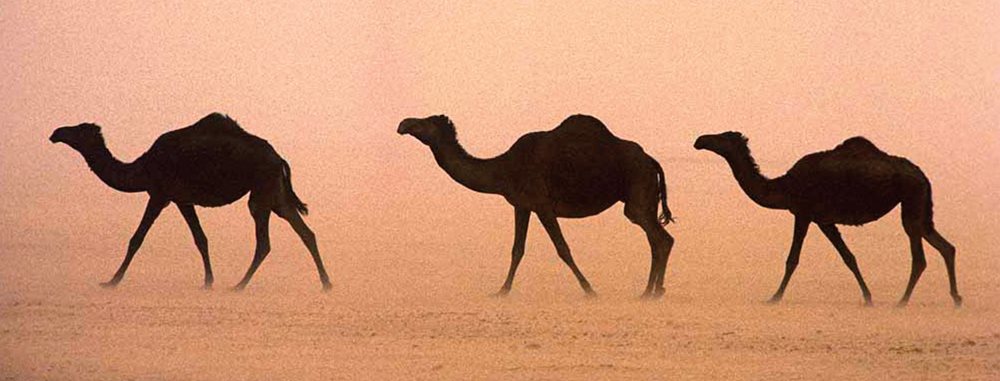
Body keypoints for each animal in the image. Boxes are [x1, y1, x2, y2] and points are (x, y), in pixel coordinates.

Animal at [49, 113, 332, 290]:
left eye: (79, 129)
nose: (55, 132)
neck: (143, 167)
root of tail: (279, 158)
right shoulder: (182, 200)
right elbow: (200, 239)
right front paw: (208, 281)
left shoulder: (160, 194)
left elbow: (136, 238)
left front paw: (111, 281)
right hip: (275, 192)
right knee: (304, 231)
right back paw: (326, 283)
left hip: (261, 191)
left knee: (264, 241)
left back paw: (239, 285)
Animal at [396, 113, 672, 296]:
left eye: (424, 122)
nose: (403, 123)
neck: (503, 168)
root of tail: (651, 160)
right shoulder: (521, 205)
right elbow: (517, 249)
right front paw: (502, 291)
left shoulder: (542, 205)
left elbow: (563, 249)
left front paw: (589, 289)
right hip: (640, 199)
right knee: (658, 239)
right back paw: (653, 290)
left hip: (638, 191)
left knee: (660, 238)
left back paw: (649, 292)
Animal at [696, 132, 960, 308]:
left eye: (723, 137)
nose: (700, 140)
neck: (784, 186)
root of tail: (922, 175)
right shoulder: (823, 220)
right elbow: (849, 257)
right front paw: (868, 297)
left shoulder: (803, 212)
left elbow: (792, 259)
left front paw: (774, 297)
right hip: (916, 202)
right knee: (944, 245)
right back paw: (956, 298)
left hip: (911, 196)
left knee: (919, 254)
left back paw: (902, 301)